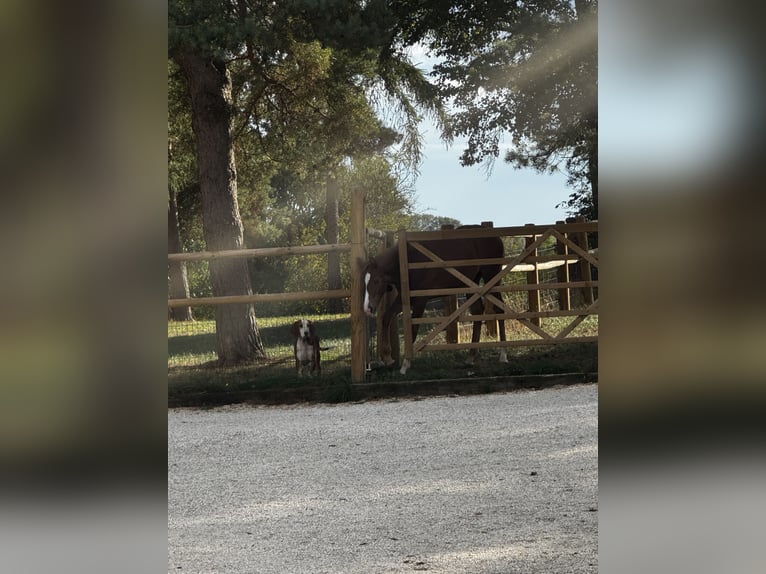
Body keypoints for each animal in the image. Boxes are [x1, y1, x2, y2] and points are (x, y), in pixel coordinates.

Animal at [362, 225, 508, 373]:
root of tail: (496, 238)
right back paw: (471, 357)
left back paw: (503, 354)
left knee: (500, 309)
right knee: (478, 312)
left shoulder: (420, 300)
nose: (368, 308)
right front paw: (387, 357)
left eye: (376, 280)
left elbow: (413, 329)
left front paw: (405, 363)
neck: (406, 261)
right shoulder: (403, 299)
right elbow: (386, 318)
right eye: (365, 281)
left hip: (492, 279)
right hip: (473, 284)